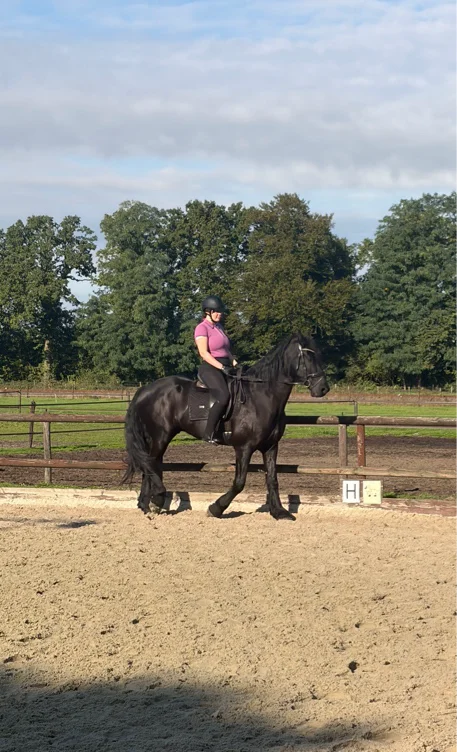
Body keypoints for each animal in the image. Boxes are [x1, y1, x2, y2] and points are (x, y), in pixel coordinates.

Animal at [123, 332, 329, 521]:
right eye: (308, 357)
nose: (323, 388)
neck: (262, 396)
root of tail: (145, 389)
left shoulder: (270, 446)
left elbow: (272, 479)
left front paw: (279, 512)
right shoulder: (244, 447)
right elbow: (239, 482)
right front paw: (216, 508)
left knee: (150, 464)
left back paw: (147, 505)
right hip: (160, 436)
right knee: (150, 463)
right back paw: (156, 499)